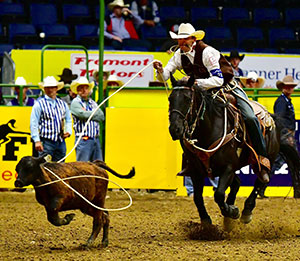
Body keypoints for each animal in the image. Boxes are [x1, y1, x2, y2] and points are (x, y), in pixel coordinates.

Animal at [169, 74, 300, 223]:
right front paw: (207, 220)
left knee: (259, 181)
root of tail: (270, 117)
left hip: (269, 158)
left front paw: (232, 211)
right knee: (237, 183)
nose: (175, 129)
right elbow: (198, 197)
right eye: (170, 99)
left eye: (187, 98)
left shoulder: (228, 167)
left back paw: (246, 210)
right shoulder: (196, 170)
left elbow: (219, 194)